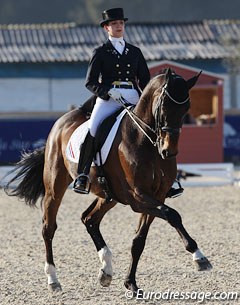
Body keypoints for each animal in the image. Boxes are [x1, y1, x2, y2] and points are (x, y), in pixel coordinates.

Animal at [4, 68, 212, 292]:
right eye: (164, 105)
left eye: (186, 108)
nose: (168, 151)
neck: (146, 141)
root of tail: (62, 121)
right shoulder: (137, 197)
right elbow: (172, 215)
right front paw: (199, 257)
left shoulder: (157, 195)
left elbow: (140, 239)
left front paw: (131, 283)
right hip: (55, 186)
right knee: (48, 228)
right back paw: (53, 279)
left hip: (108, 195)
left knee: (89, 219)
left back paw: (106, 269)